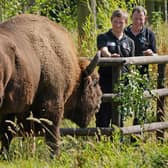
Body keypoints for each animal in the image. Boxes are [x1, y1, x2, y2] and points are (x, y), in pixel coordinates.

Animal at [0, 14, 102, 156]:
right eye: (95, 81)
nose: (99, 103)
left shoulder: (10, 111)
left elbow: (6, 135)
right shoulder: (52, 106)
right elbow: (53, 136)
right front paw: (56, 156)